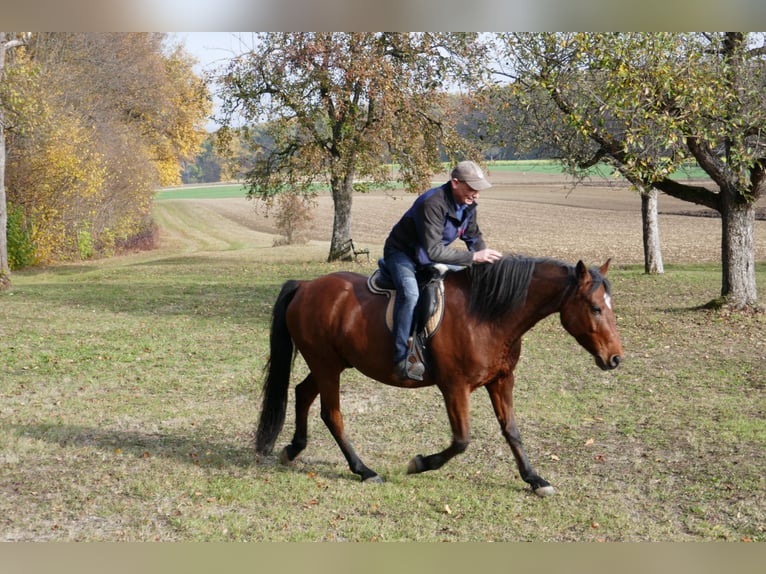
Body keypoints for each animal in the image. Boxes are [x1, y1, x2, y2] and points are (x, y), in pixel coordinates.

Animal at [254, 254, 624, 498]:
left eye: (610, 307)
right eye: (595, 308)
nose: (615, 358)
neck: (487, 314)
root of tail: (305, 286)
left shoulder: (501, 381)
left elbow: (512, 432)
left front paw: (535, 479)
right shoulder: (455, 387)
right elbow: (461, 441)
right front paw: (419, 463)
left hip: (329, 365)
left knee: (302, 393)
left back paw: (293, 449)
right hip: (327, 366)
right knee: (332, 414)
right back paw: (364, 470)